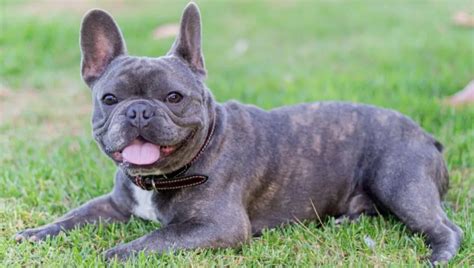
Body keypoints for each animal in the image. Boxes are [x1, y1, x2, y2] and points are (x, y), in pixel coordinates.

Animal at [15, 3, 462, 264]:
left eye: (174, 97)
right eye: (110, 99)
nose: (139, 110)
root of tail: (425, 135)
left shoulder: (216, 227)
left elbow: (157, 237)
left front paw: (117, 252)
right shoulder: (112, 205)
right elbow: (74, 217)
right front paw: (36, 234)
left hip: (399, 181)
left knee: (445, 226)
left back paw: (439, 255)